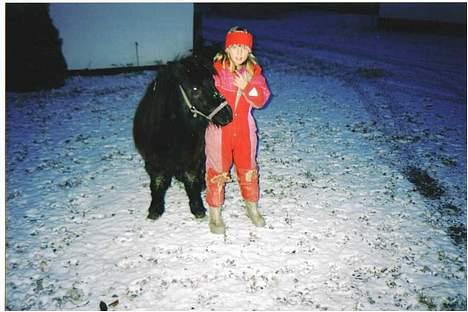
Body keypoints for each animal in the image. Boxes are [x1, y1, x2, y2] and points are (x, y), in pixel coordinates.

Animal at [133, 54, 232, 219]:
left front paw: (197, 208)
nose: (228, 114)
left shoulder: (192, 158)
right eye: (195, 89)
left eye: (212, 82)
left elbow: (191, 179)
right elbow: (157, 182)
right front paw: (155, 208)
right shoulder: (153, 161)